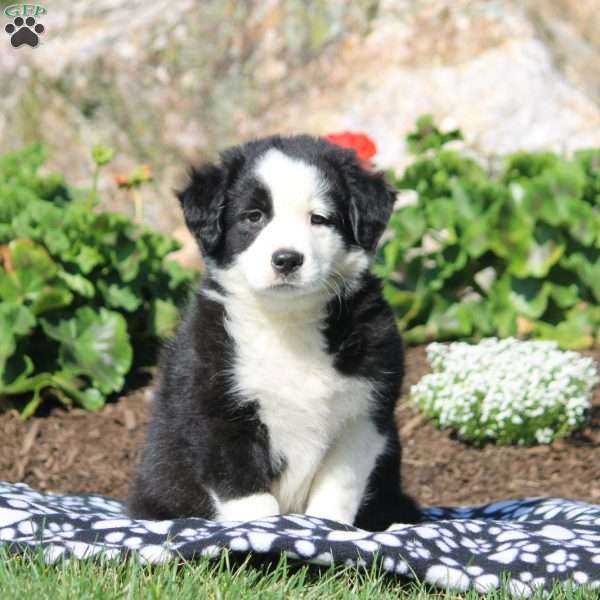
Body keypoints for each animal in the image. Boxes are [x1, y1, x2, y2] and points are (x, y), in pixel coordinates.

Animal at [127, 135, 418, 528]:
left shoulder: (365, 413)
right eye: (254, 217)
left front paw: (330, 528)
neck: (288, 321)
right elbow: (247, 493)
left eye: (319, 219)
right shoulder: (215, 407)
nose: (286, 260)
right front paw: (260, 533)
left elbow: (339, 486)